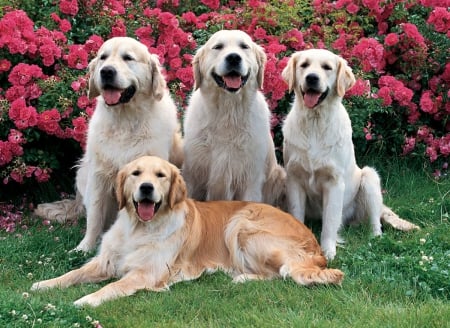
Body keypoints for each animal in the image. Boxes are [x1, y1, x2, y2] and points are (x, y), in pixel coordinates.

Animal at [30, 156, 342, 308]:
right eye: (135, 173)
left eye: (160, 175)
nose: (146, 188)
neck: (138, 229)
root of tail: (315, 245)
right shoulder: (105, 261)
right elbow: (73, 274)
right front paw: (43, 285)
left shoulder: (147, 273)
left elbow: (112, 287)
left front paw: (86, 300)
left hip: (242, 224)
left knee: (284, 272)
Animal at [33, 36, 183, 251]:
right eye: (103, 57)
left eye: (128, 58)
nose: (106, 71)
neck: (125, 121)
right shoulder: (99, 175)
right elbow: (95, 215)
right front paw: (84, 247)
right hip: (83, 173)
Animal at [181, 30, 284, 205]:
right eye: (218, 47)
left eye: (244, 46)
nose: (234, 58)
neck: (227, 112)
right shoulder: (192, 174)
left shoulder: (249, 180)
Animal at [284, 48, 420, 260]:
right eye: (304, 65)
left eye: (327, 67)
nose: (312, 78)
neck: (315, 122)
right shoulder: (294, 179)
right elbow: (296, 215)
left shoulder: (334, 183)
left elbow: (330, 222)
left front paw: (328, 251)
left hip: (369, 177)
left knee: (376, 222)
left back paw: (375, 238)